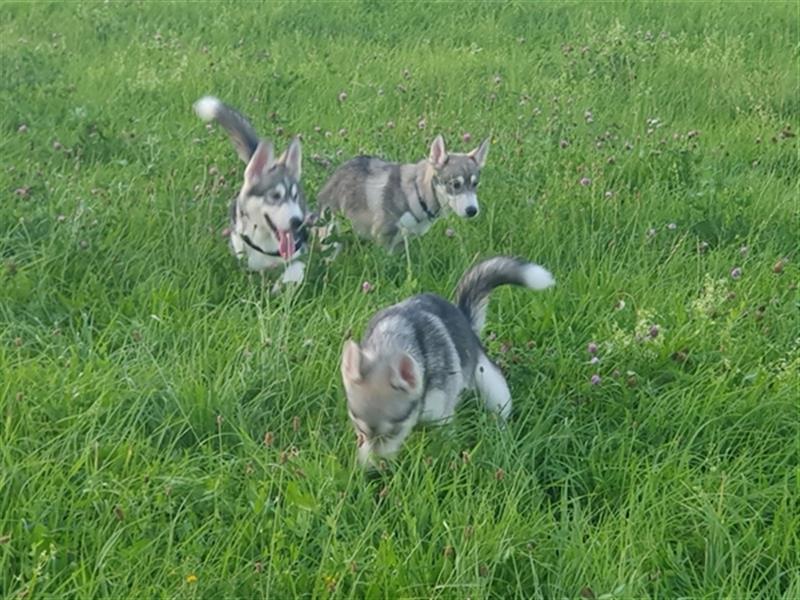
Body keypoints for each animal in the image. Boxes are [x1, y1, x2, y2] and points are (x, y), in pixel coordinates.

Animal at [316, 135, 490, 250]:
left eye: (475, 184)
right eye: (455, 184)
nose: (472, 211)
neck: (419, 194)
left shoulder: (403, 242)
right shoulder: (384, 237)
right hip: (331, 236)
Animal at [340, 255, 552, 466]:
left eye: (394, 432)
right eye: (360, 432)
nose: (371, 469)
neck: (391, 342)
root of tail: (464, 318)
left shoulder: (441, 418)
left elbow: (443, 440)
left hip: (494, 388)